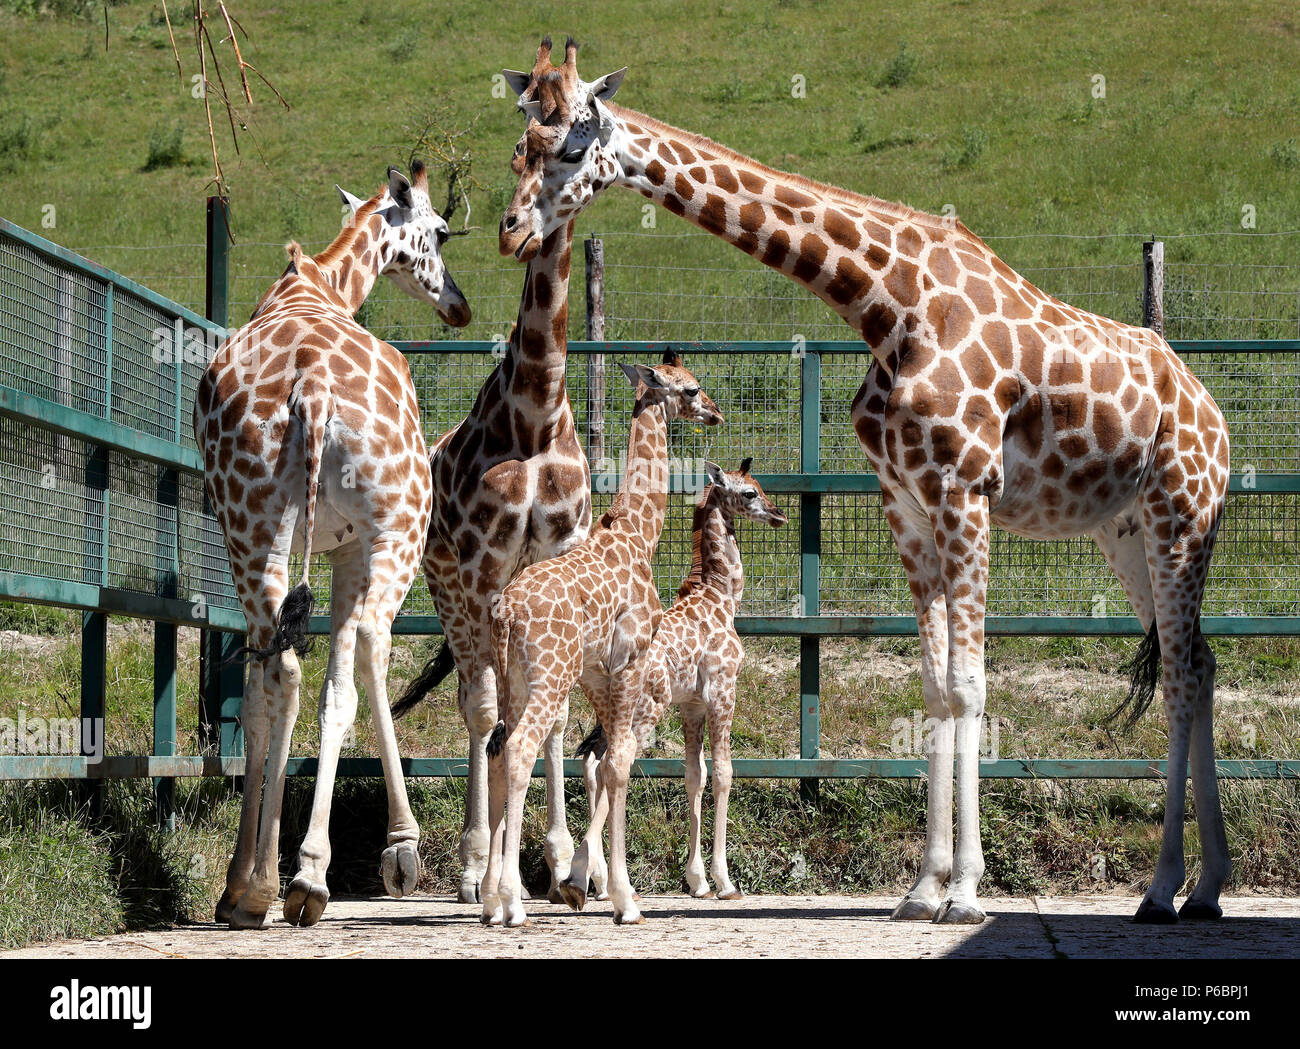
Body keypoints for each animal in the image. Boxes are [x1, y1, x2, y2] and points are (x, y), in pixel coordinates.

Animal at [197, 161, 473, 925]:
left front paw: (256, 876)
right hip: (395, 526)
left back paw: (259, 884)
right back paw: (332, 869)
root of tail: (313, 389)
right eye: (442, 231)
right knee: (360, 649)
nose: (459, 304)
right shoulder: (351, 544)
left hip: (253, 525)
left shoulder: (313, 542)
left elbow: (289, 688)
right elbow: (347, 683)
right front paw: (378, 854)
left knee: (279, 669)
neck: (321, 282)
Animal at [478, 353, 722, 925]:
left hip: (513, 681)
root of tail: (507, 613)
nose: (715, 413)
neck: (639, 534)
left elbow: (608, 761)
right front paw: (622, 898)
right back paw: (512, 904)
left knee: (497, 749)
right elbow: (619, 762)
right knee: (519, 749)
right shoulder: (630, 660)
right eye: (691, 388)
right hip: (549, 677)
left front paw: (587, 883)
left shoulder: (596, 673)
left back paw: (493, 902)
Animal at [572, 460, 790, 909]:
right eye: (749, 493)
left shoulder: (691, 704)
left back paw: (596, 879)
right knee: (611, 763)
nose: (779, 514)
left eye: (761, 485)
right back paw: (592, 878)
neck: (721, 598)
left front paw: (697, 880)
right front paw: (724, 881)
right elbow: (723, 772)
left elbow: (695, 775)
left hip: (610, 710)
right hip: (645, 709)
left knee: (592, 762)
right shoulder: (724, 690)